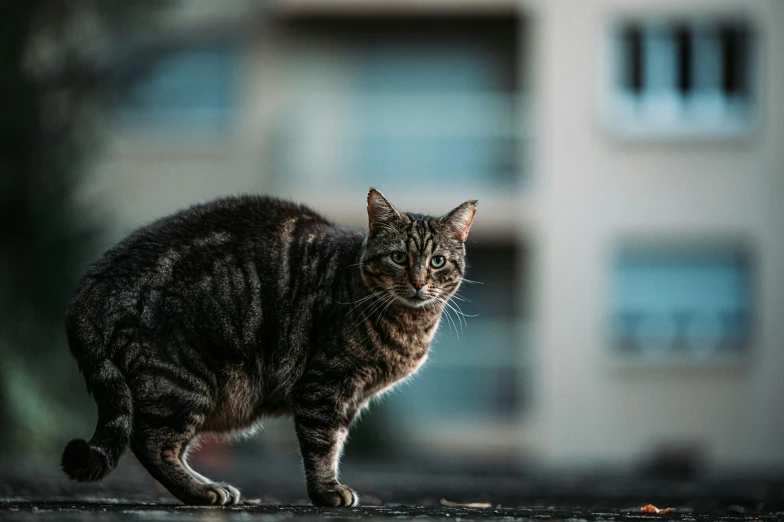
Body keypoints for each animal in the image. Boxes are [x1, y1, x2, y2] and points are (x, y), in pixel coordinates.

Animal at [59, 187, 478, 504]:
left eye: (438, 261)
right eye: (398, 257)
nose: (419, 283)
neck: (408, 325)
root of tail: (91, 282)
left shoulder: (349, 398)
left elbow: (336, 440)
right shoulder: (324, 386)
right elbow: (323, 444)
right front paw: (327, 492)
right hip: (182, 380)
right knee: (150, 442)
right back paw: (202, 491)